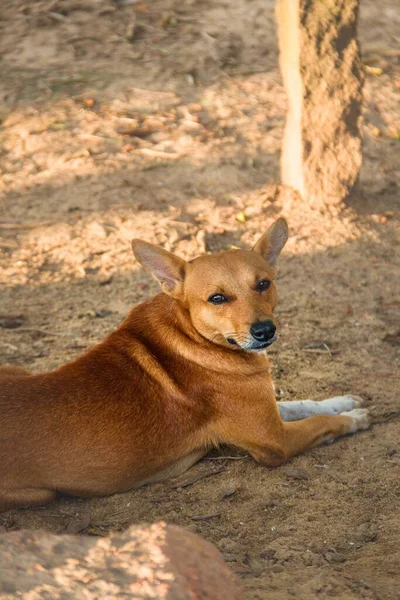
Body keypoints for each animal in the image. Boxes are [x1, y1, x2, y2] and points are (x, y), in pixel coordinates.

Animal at [0, 220, 368, 510]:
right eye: (217, 298)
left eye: (263, 284)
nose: (265, 330)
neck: (193, 335)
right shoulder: (275, 441)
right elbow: (322, 422)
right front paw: (353, 419)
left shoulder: (267, 412)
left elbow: (304, 404)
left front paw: (342, 401)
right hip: (40, 494)